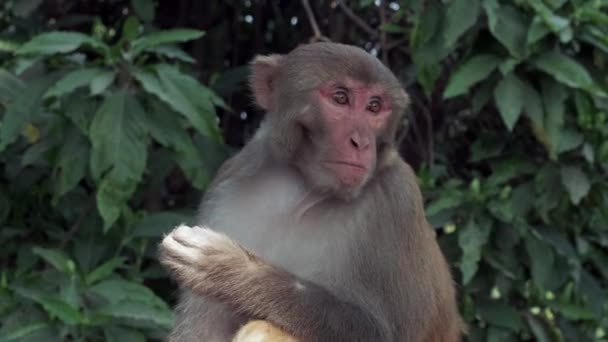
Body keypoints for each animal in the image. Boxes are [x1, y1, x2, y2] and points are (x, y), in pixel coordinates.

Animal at [158, 42, 466, 342]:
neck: (305, 187)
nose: (361, 142)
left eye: (374, 107)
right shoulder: (227, 186)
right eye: (340, 98)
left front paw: (231, 269)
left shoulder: (397, 198)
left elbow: (388, 334)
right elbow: (201, 330)